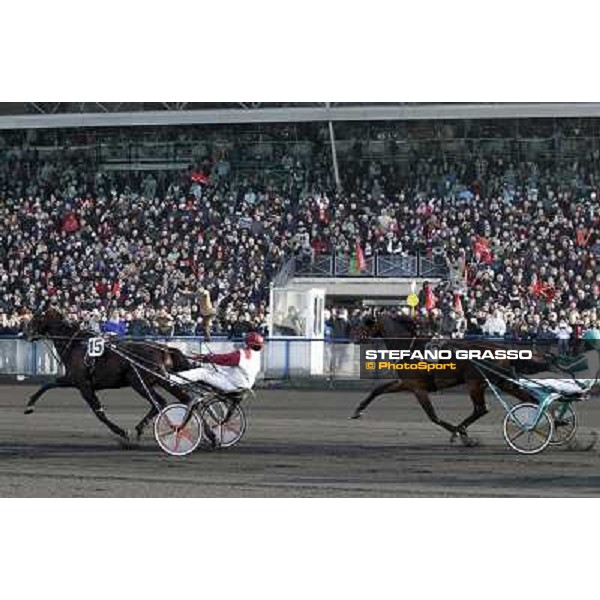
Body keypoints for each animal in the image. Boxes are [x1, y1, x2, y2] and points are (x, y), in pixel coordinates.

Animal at [25, 312, 195, 442]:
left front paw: (122, 432)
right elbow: (48, 384)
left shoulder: (83, 384)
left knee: (159, 401)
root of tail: (163, 349)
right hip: (161, 379)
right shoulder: (72, 380)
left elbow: (99, 412)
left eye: (35, 318)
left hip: (139, 382)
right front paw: (29, 405)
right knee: (182, 399)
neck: (75, 345)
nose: (26, 334)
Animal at [350, 314, 552, 446]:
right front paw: (358, 411)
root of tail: (500, 349)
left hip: (475, 383)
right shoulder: (406, 384)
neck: (409, 347)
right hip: (502, 381)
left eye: (365, 324)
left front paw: (461, 434)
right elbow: (378, 389)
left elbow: (433, 416)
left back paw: (462, 432)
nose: (354, 337)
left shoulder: (416, 387)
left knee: (481, 409)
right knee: (529, 399)